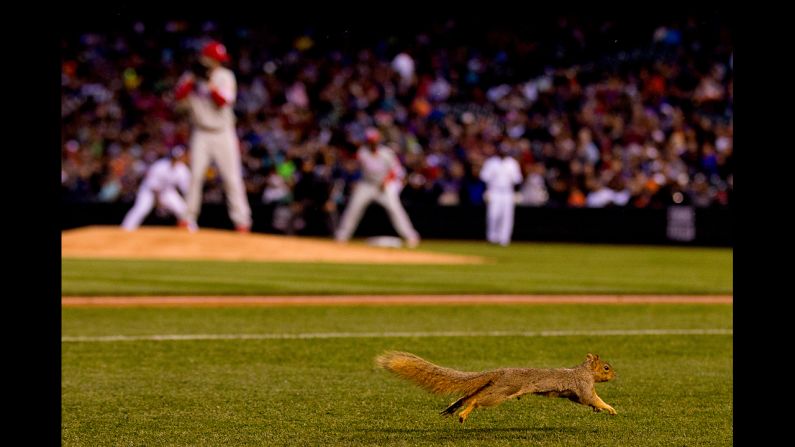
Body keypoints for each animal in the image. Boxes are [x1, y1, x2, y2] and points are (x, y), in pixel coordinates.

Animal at [376, 350, 620, 424]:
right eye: (606, 368)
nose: (616, 374)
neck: (584, 371)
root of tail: (501, 372)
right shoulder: (584, 386)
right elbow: (592, 398)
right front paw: (610, 408)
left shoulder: (577, 393)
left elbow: (586, 401)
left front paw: (598, 410)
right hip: (501, 392)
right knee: (476, 400)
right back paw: (463, 414)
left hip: (494, 388)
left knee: (468, 396)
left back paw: (454, 408)